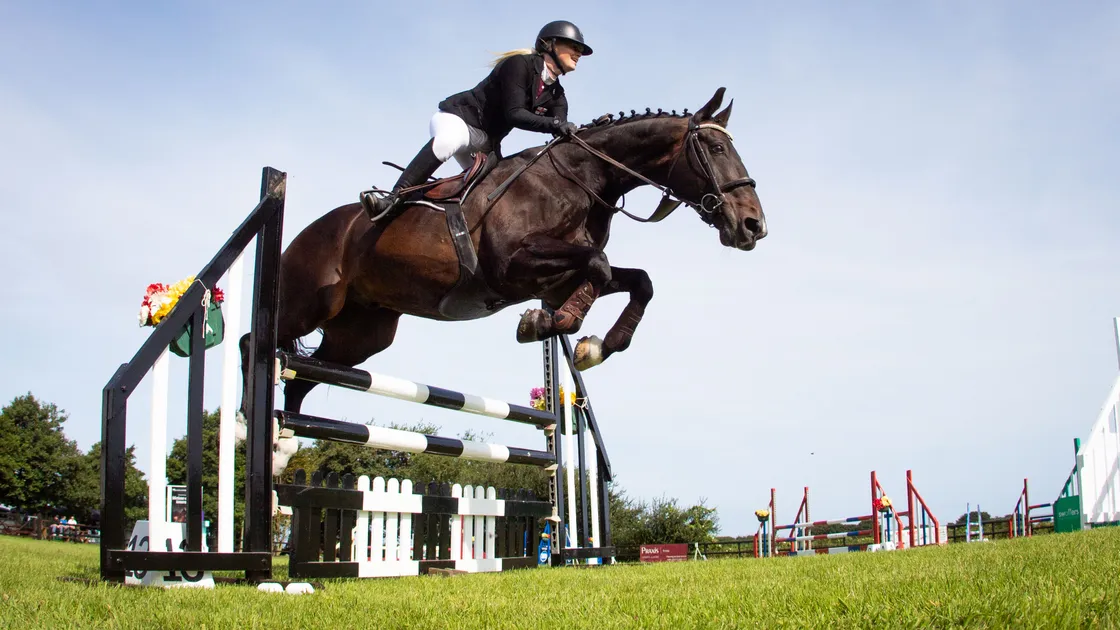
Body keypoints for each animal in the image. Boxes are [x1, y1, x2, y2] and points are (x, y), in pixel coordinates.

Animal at [240, 87, 766, 432]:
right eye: (716, 147)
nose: (753, 226)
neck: (584, 179)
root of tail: (310, 230)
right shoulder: (514, 264)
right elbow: (598, 264)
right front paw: (551, 325)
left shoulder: (557, 278)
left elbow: (637, 280)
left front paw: (593, 345)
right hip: (308, 302)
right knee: (256, 343)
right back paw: (250, 421)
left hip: (361, 333)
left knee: (303, 379)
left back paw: (286, 443)